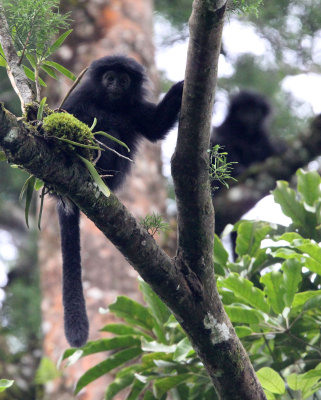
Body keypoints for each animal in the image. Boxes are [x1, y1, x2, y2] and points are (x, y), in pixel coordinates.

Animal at [58, 54, 182, 346]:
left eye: (123, 80)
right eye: (109, 78)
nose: (115, 84)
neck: (110, 104)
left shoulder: (134, 108)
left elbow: (155, 127)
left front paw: (183, 87)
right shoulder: (81, 96)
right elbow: (68, 116)